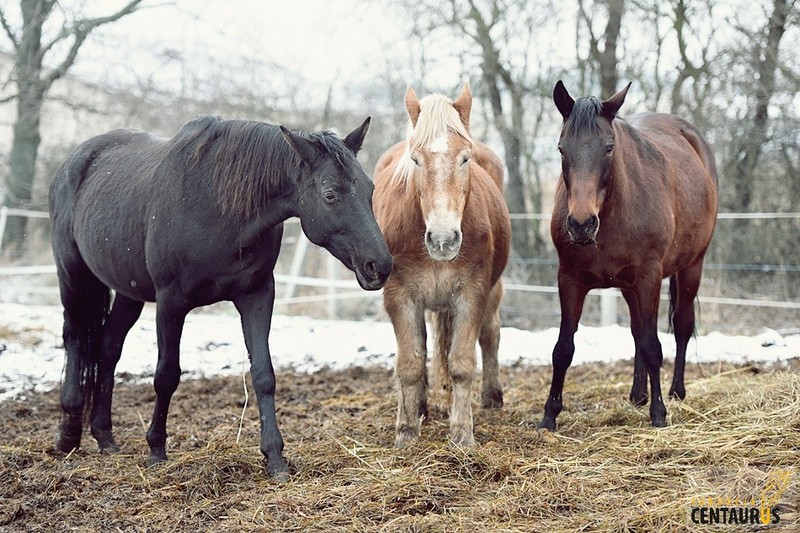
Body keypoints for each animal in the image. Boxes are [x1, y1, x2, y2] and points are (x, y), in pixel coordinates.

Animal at [48, 114, 392, 480]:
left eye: (370, 189)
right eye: (329, 194)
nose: (380, 266)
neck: (221, 209)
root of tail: (76, 159)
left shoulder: (257, 296)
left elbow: (264, 375)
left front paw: (275, 458)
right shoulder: (171, 303)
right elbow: (166, 376)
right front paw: (156, 450)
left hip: (129, 292)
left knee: (108, 348)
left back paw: (104, 436)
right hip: (73, 274)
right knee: (74, 337)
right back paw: (68, 434)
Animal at [376, 83, 512, 446]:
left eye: (465, 158)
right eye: (415, 159)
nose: (442, 239)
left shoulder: (472, 295)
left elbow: (462, 364)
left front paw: (462, 434)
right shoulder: (400, 298)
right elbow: (409, 365)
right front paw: (406, 432)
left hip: (493, 289)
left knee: (490, 335)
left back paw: (491, 396)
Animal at [536, 83, 720, 430]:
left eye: (609, 148)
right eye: (562, 149)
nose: (581, 224)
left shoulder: (649, 278)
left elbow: (653, 345)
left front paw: (659, 414)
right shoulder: (570, 280)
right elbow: (563, 349)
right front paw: (548, 415)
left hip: (692, 266)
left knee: (681, 326)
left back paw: (676, 391)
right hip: (628, 286)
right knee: (636, 331)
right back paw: (638, 394)